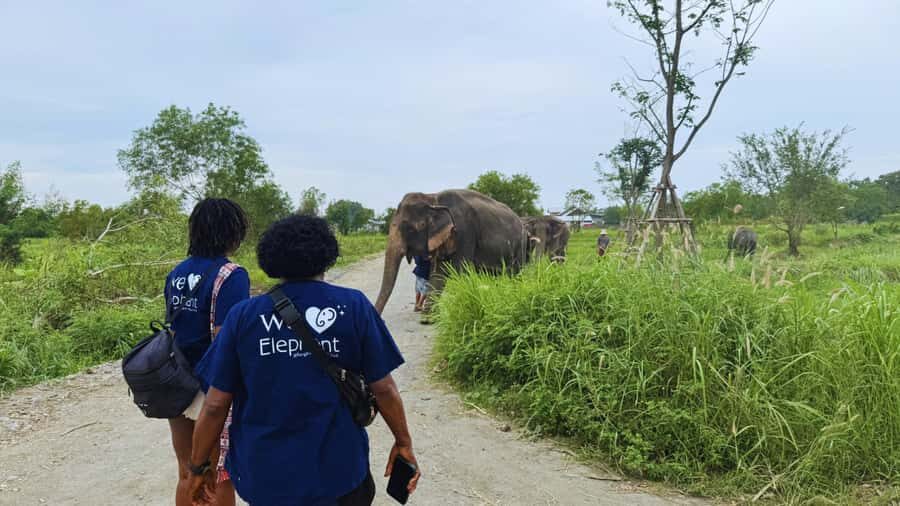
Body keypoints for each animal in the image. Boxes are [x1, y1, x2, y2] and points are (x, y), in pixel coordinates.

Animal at [374, 189, 527, 314]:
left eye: (411, 229)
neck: (433, 198)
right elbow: (438, 271)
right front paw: (428, 318)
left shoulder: (465, 231)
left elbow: (461, 270)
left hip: (520, 246)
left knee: (514, 273)